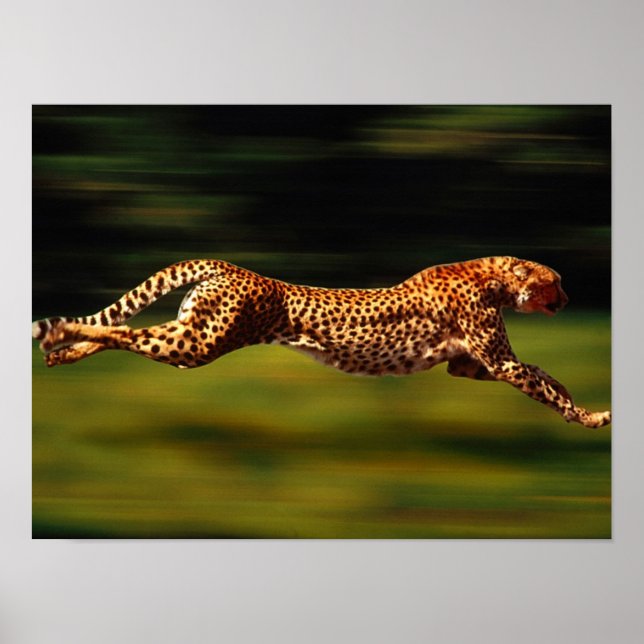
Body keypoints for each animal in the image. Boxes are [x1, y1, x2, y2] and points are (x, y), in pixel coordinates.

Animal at [32, 256, 611, 428]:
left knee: (127, 333)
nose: (567, 296)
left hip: (189, 337)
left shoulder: (468, 366)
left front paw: (580, 406)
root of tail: (227, 265)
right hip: (199, 344)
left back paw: (63, 350)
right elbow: (541, 382)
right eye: (556, 280)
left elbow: (544, 374)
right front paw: (590, 417)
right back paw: (59, 334)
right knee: (126, 330)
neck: (493, 276)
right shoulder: (497, 363)